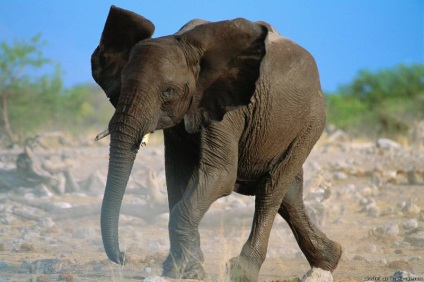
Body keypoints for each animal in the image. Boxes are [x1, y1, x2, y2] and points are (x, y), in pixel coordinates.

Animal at [91, 5, 342, 280]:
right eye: (122, 82)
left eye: (168, 91)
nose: (123, 257)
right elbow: (177, 178)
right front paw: (182, 269)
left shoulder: (228, 106)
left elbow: (220, 175)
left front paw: (187, 270)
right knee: (289, 192)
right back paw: (329, 260)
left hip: (311, 122)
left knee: (271, 188)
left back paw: (243, 271)